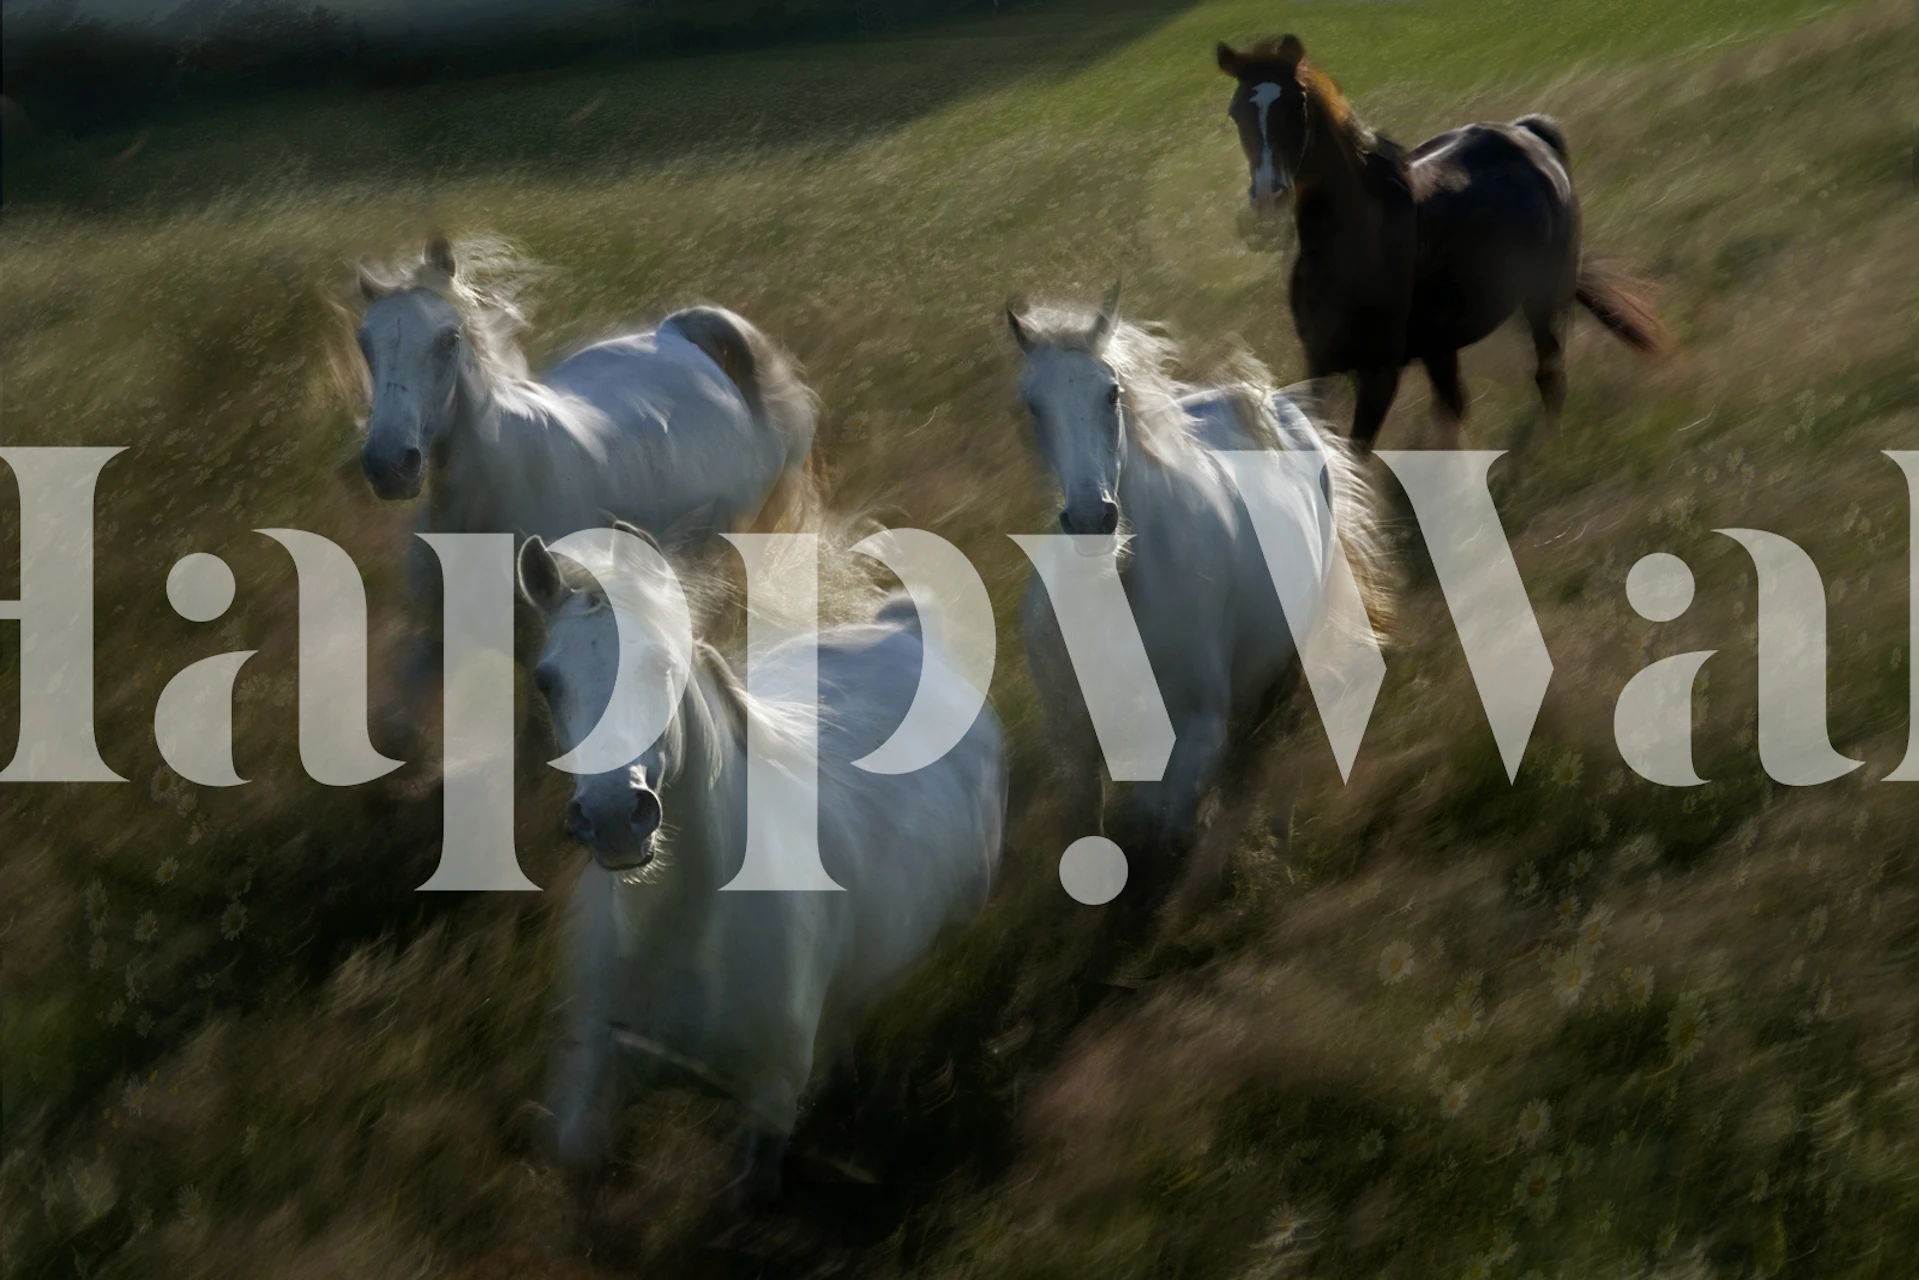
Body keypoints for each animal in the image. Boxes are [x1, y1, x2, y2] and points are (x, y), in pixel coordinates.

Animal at [352, 234, 817, 734]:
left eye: (448, 339)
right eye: (365, 342)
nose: (389, 465)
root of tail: (676, 334)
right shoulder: (434, 641)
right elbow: (400, 733)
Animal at [518, 523, 1006, 1202]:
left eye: (663, 665)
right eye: (546, 680)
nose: (614, 816)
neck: (684, 937)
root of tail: (904, 628)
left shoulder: (768, 1107)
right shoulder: (586, 1084)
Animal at [1006, 284, 1389, 902]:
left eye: (1111, 392)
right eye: (1033, 406)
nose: (1091, 519)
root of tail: (1282, 408)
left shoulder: (1199, 733)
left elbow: (1164, 831)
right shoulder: (1074, 741)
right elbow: (1096, 838)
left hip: (1286, 672)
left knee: (1265, 761)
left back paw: (1273, 856)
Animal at [1216, 34, 1667, 451]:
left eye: (1297, 104)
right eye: (1236, 111)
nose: (1268, 197)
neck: (1352, 247)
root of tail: (1529, 133)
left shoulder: (1380, 373)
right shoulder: (1320, 364)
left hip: (1545, 301)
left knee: (1549, 376)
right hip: (1442, 343)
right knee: (1454, 404)